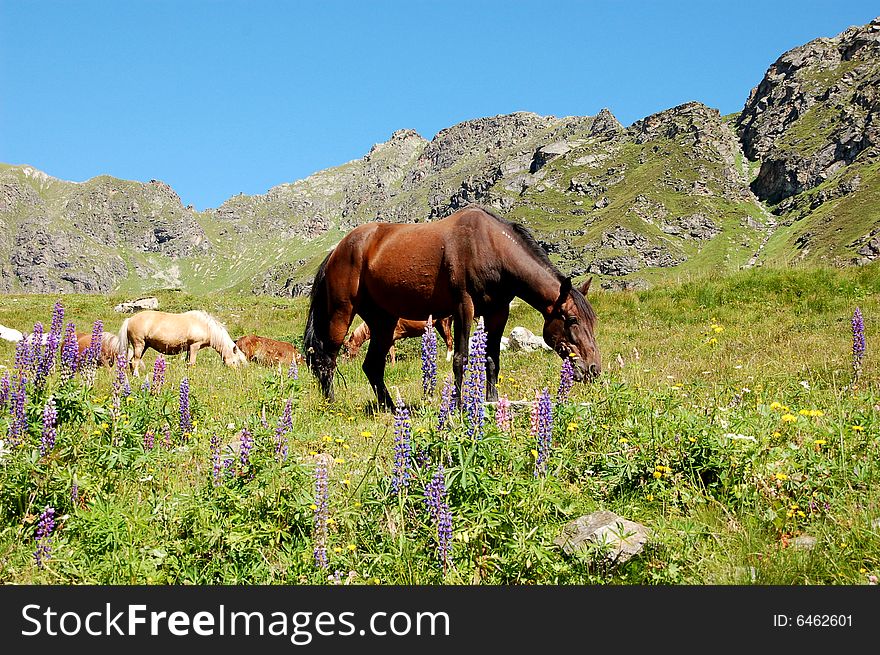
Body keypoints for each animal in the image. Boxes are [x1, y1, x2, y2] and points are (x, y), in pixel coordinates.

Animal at [117, 312, 246, 374]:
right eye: (234, 361)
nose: (236, 372)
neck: (205, 326)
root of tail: (129, 319)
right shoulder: (194, 346)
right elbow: (192, 363)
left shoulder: (189, 349)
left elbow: (187, 363)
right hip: (139, 344)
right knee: (135, 361)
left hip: (144, 346)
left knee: (131, 361)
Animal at [302, 205, 600, 410]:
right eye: (572, 319)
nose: (594, 369)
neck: (490, 246)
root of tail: (337, 250)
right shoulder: (463, 308)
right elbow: (461, 358)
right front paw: (456, 405)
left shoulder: (497, 312)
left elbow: (492, 359)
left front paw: (491, 400)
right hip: (341, 313)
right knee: (327, 359)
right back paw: (331, 404)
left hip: (383, 321)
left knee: (372, 366)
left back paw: (391, 408)